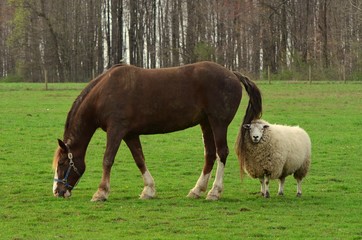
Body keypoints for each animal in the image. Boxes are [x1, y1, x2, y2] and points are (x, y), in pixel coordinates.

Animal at [52, 61, 262, 201]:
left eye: (62, 163)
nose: (57, 191)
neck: (104, 93)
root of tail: (232, 73)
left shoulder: (116, 130)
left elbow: (108, 159)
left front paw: (101, 192)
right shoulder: (130, 134)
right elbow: (139, 159)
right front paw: (149, 190)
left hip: (218, 123)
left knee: (221, 153)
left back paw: (214, 192)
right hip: (206, 123)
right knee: (210, 155)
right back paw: (197, 190)